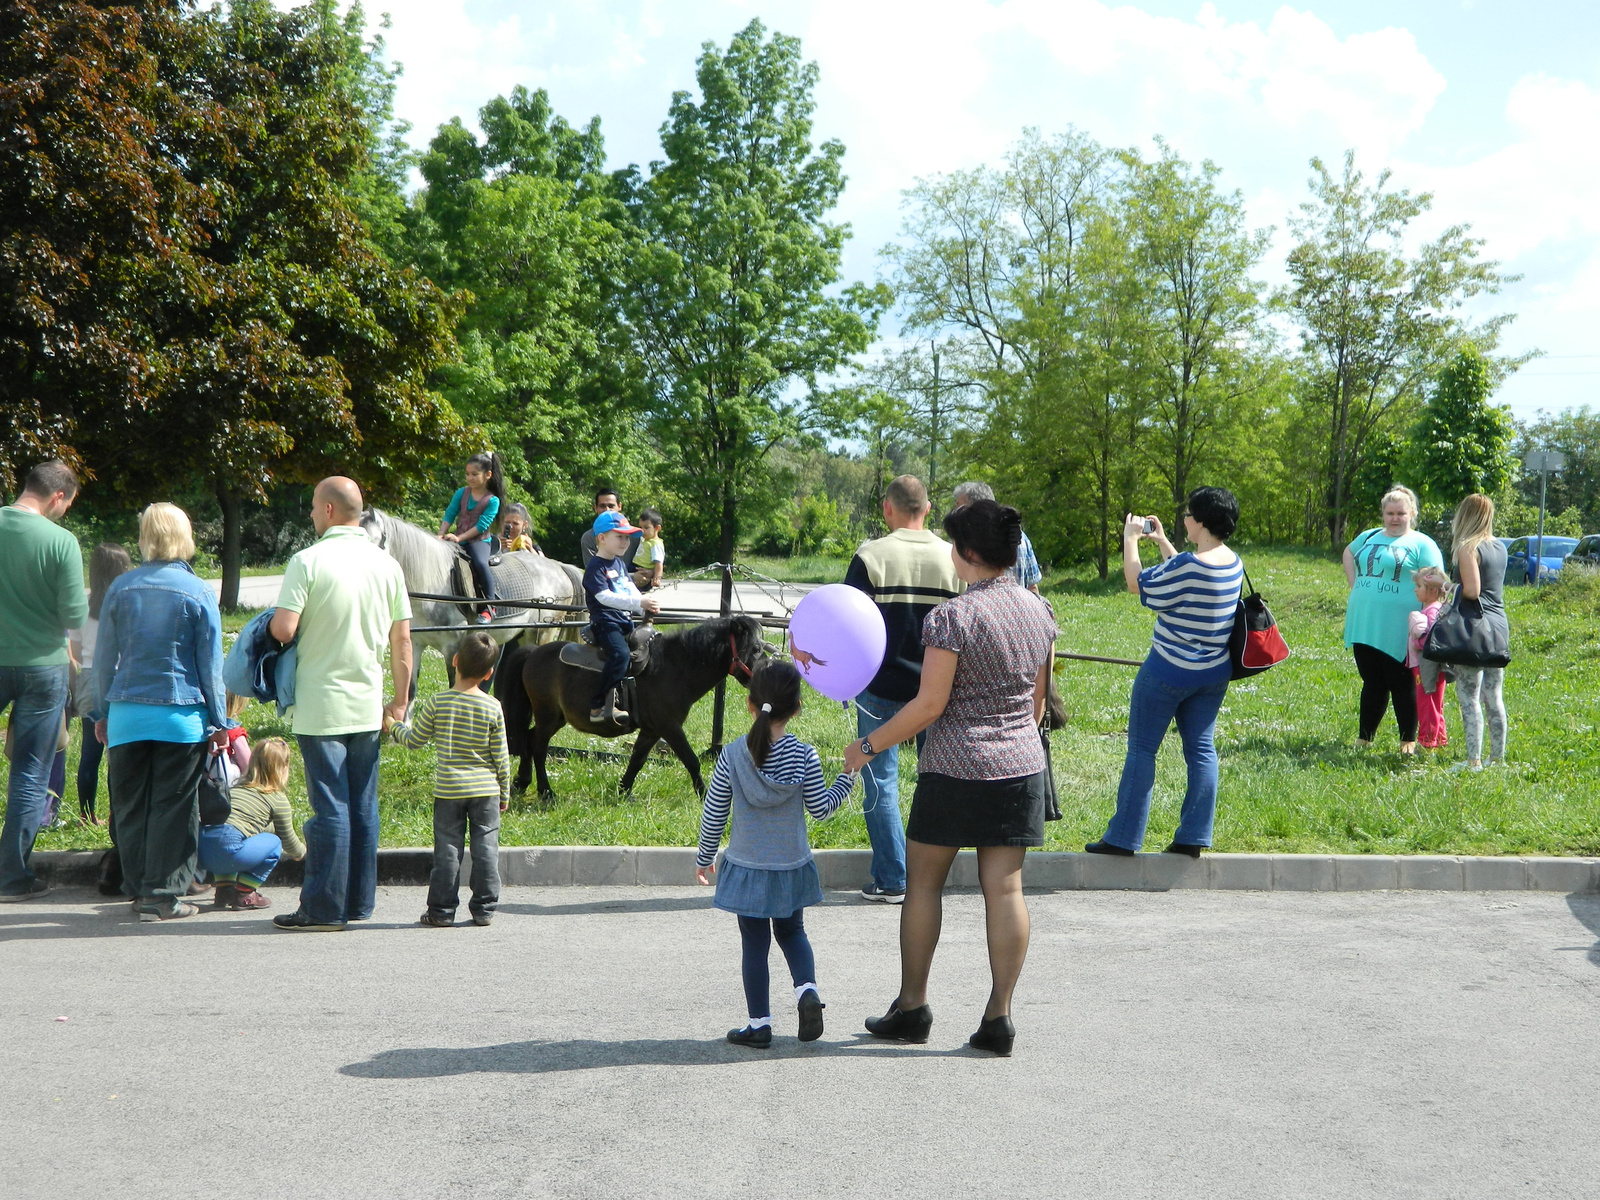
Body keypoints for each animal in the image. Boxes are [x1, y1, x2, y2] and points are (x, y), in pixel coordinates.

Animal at [499, 620, 774, 800]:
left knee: (529, 739)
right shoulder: (670, 727)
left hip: (557, 717)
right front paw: (705, 795)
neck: (676, 667)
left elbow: (637, 760)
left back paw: (522, 782)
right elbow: (691, 760)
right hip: (547, 714)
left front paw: (623, 791)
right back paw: (546, 791)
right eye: (755, 649)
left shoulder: (652, 730)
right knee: (538, 747)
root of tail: (533, 652)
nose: (765, 677)